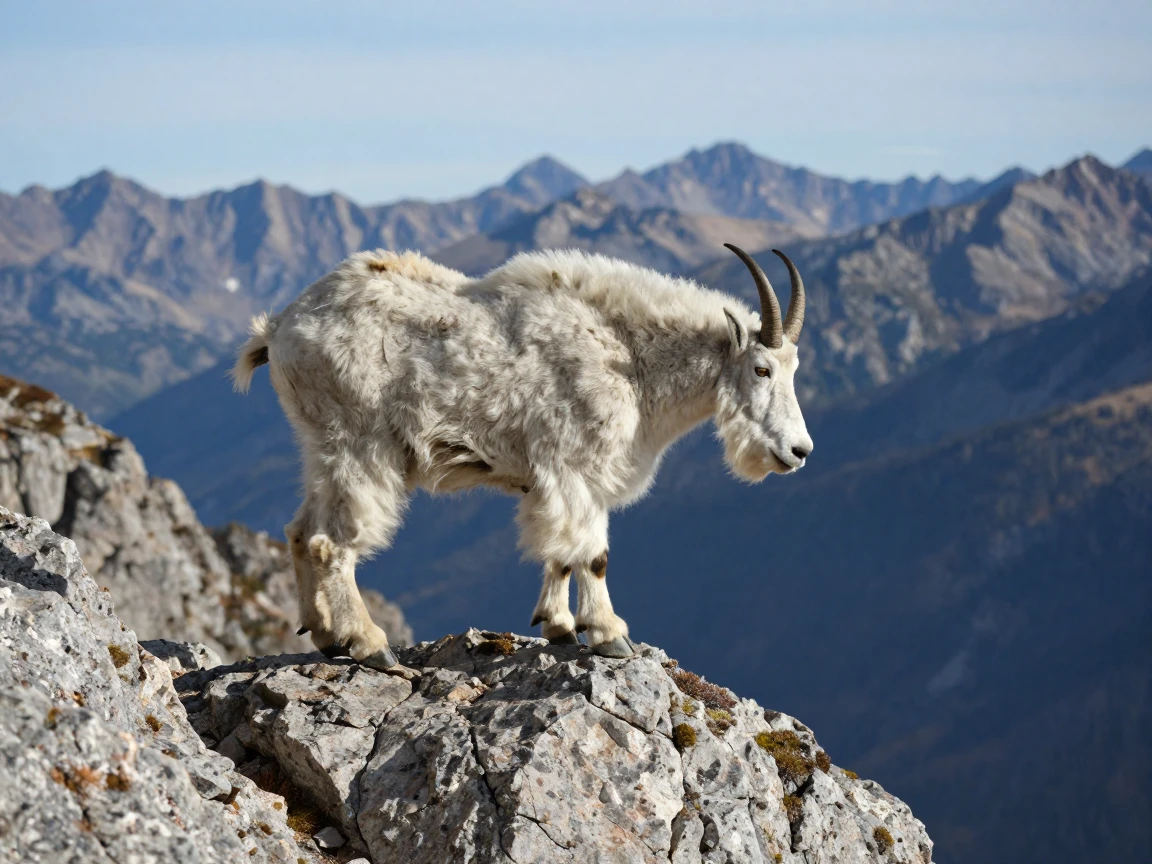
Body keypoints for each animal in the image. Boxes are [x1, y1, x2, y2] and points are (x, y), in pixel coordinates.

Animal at [232, 244, 813, 665]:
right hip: (360, 445)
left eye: (794, 369)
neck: (628, 356)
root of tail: (280, 328)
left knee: (300, 531)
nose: (798, 451)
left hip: (320, 446)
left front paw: (558, 627)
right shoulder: (574, 467)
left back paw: (325, 635)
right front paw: (609, 635)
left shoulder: (559, 479)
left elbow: (559, 553)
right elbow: (592, 554)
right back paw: (370, 645)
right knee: (331, 542)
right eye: (762, 368)